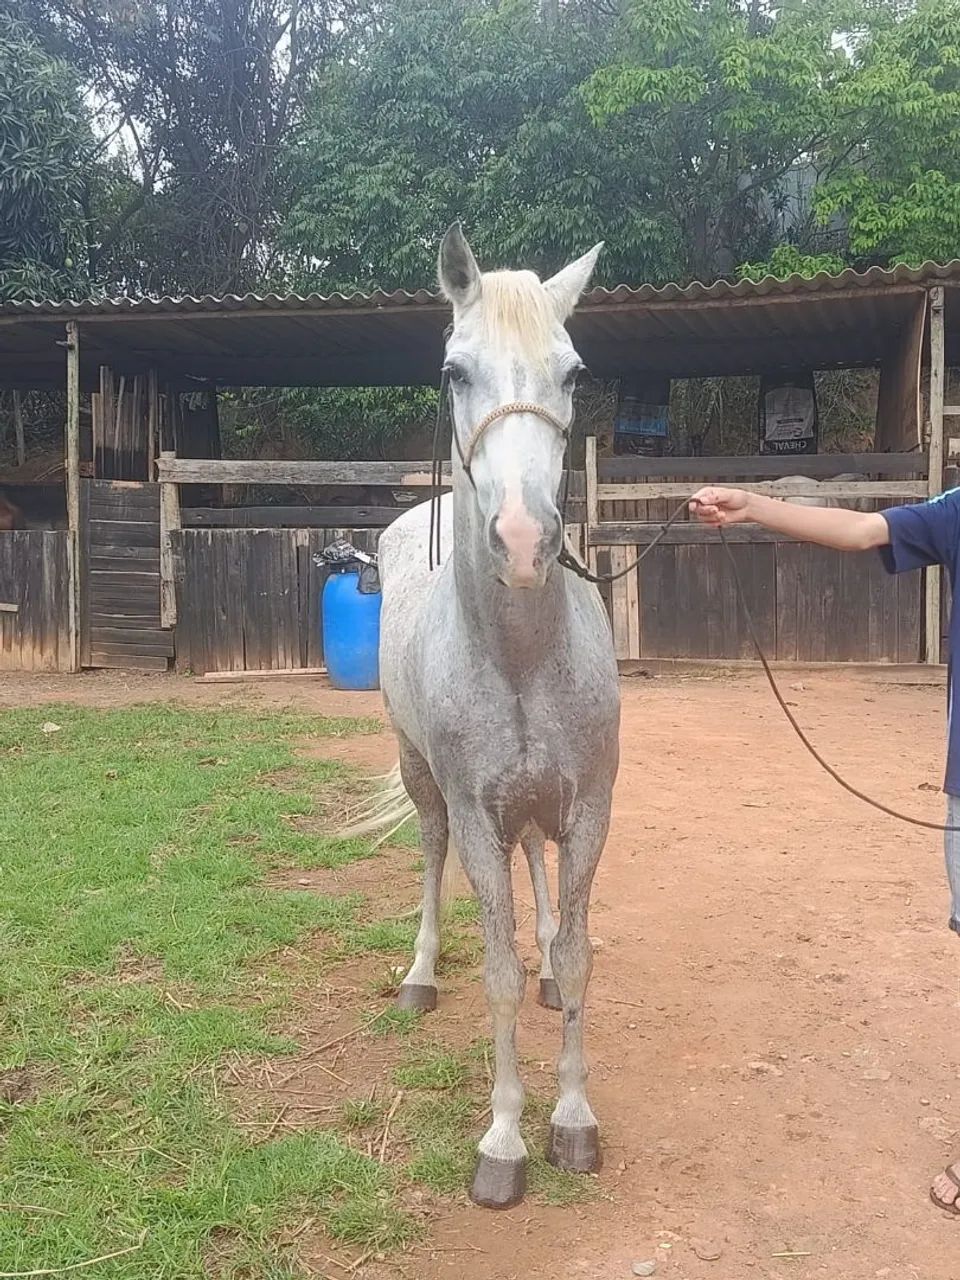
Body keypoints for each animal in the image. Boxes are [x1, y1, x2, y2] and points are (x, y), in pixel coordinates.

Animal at [347, 224, 619, 1209]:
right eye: (455, 371)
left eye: (572, 372)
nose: (524, 542)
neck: (520, 656)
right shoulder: (473, 814)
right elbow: (496, 973)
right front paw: (503, 1141)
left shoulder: (588, 810)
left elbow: (576, 959)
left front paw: (572, 1119)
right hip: (423, 779)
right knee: (429, 859)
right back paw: (420, 978)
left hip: (534, 810)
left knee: (536, 870)